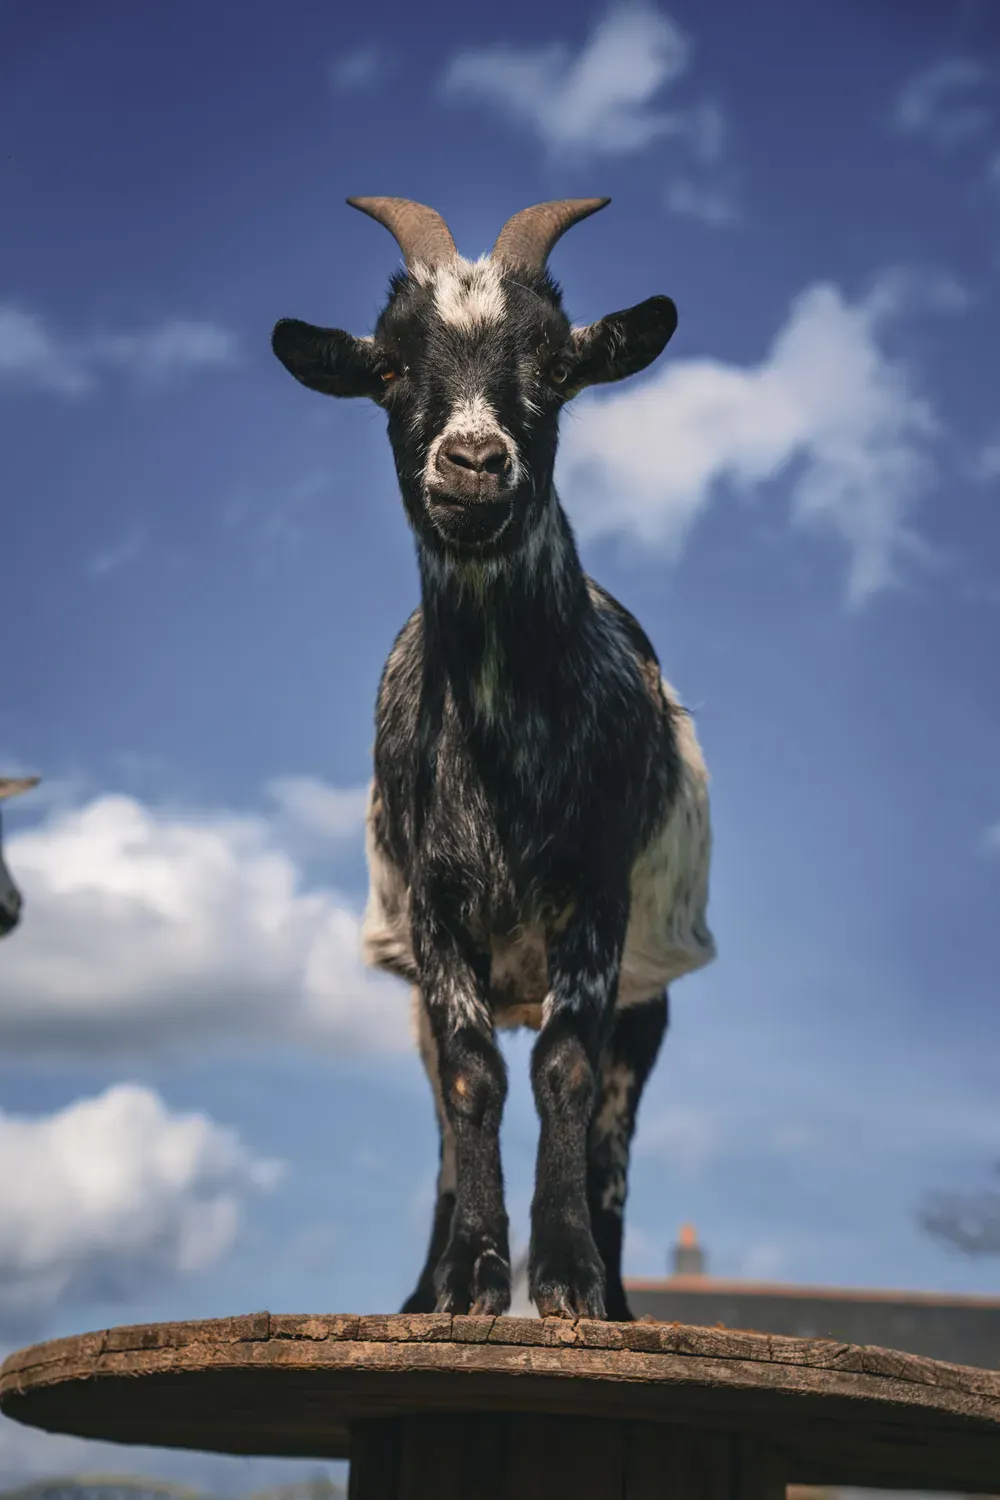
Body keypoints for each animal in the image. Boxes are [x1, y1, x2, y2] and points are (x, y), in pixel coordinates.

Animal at [272, 197, 715, 1322]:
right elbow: (473, 1078)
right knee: (441, 1112)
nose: (472, 462)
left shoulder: (598, 896)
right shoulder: (434, 909)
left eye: (555, 367)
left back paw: (618, 1289)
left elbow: (564, 1073)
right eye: (388, 366)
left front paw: (566, 1279)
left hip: (649, 993)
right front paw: (471, 1276)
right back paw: (420, 1293)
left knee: (612, 1132)